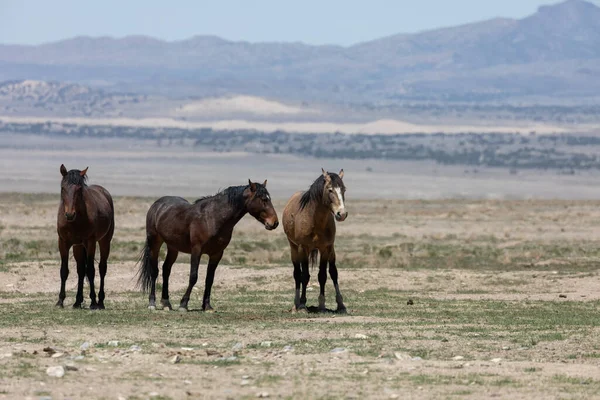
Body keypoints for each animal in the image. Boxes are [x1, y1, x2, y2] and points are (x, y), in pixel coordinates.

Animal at [57, 165, 116, 310]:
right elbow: (64, 271)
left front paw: (93, 302)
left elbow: (91, 270)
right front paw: (60, 301)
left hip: (104, 241)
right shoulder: (63, 242)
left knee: (102, 268)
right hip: (78, 246)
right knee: (80, 270)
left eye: (79, 189)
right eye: (63, 188)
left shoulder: (90, 242)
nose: (69, 214)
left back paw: (100, 302)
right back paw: (77, 301)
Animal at [137, 180, 278, 310]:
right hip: (155, 243)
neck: (212, 218)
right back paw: (152, 303)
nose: (274, 223)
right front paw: (183, 304)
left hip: (173, 247)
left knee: (166, 269)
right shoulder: (196, 250)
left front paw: (207, 306)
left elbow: (209, 279)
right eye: (263, 199)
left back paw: (166, 303)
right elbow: (193, 276)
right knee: (154, 271)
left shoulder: (217, 254)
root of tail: (157, 204)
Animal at [284, 168, 350, 312]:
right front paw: (303, 304)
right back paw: (296, 304)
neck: (314, 220)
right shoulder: (303, 248)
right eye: (330, 190)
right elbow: (304, 276)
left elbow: (323, 275)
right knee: (297, 274)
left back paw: (340, 304)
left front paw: (322, 305)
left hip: (330, 250)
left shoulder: (325, 248)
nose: (341, 214)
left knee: (333, 272)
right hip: (294, 248)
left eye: (343, 189)